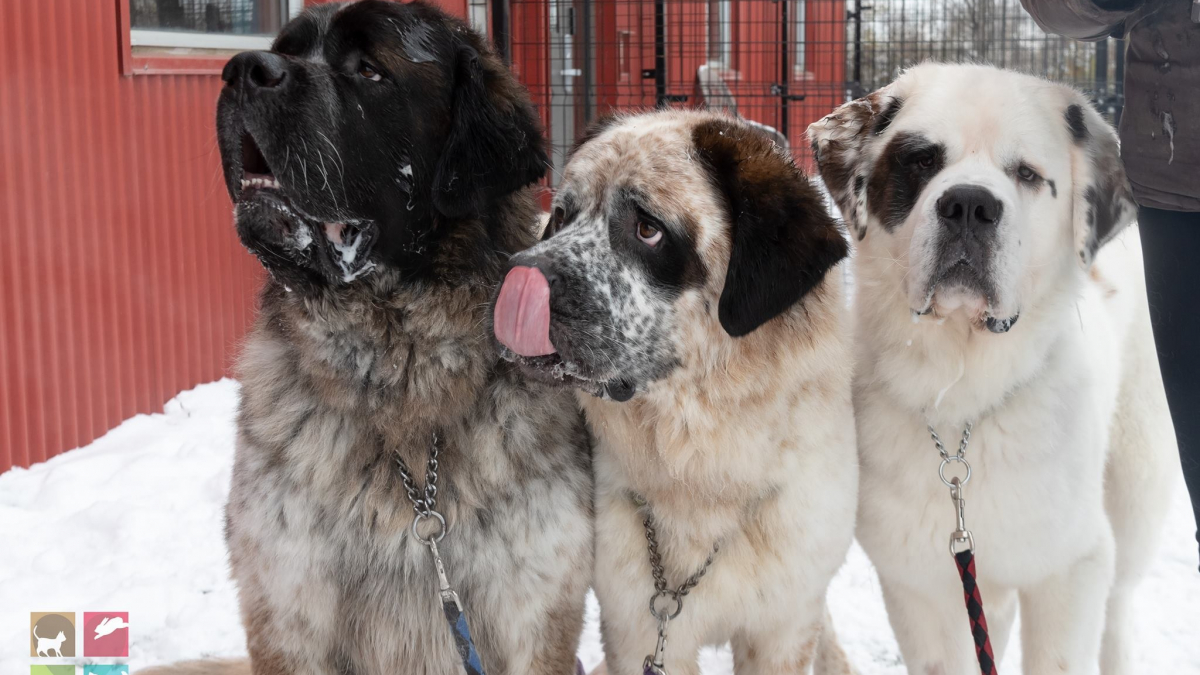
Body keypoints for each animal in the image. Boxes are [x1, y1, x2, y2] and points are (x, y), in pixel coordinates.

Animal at [492, 111, 859, 672]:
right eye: (562, 215)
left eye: (648, 229)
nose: (519, 275)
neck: (702, 475)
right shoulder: (638, 624)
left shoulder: (783, 624)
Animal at [806, 63, 1180, 672]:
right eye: (922, 160)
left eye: (1026, 173)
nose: (968, 205)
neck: (964, 396)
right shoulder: (920, 585)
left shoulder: (1069, 567)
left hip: (1136, 485)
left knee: (1120, 604)